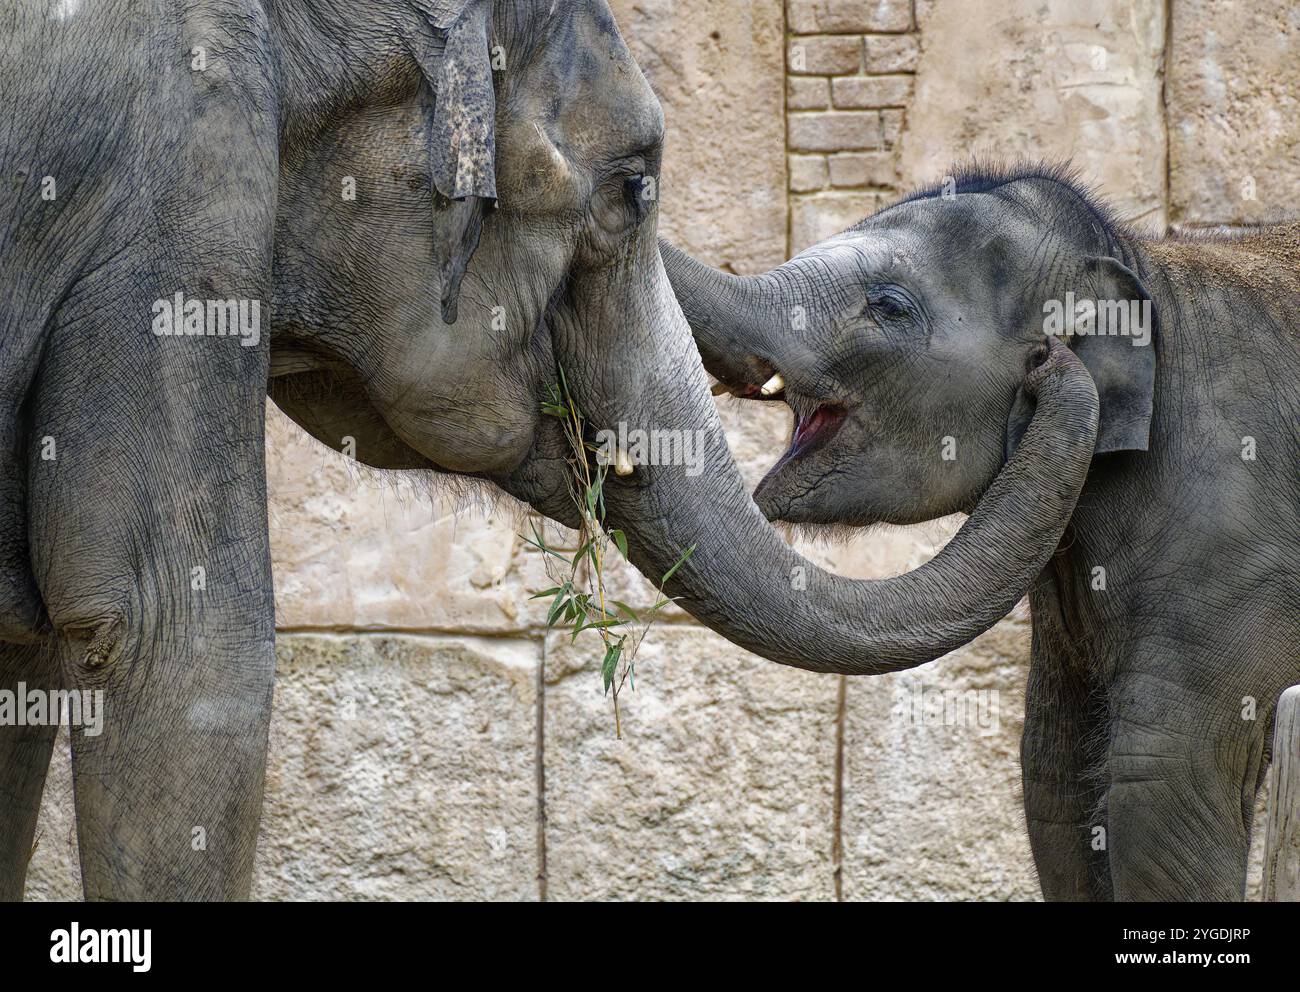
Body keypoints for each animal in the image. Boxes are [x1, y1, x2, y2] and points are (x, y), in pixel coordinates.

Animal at [661, 164, 1300, 901]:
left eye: (890, 306)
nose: (1051, 363)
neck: (1144, 268)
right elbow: (1056, 783)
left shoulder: (1235, 547)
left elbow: (1159, 784)